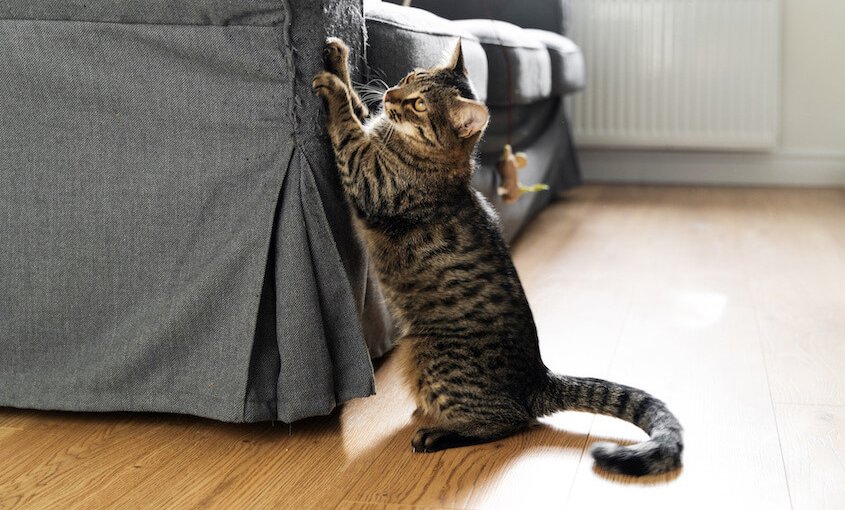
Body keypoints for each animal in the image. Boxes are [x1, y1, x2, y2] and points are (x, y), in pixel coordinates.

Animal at [314, 37, 684, 476]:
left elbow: (348, 126)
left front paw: (334, 87)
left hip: (431, 357)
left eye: (419, 104)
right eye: (407, 79)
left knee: (509, 420)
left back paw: (437, 433)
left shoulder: (369, 177)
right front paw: (338, 58)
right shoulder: (372, 135)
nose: (391, 95)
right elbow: (358, 108)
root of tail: (538, 377)